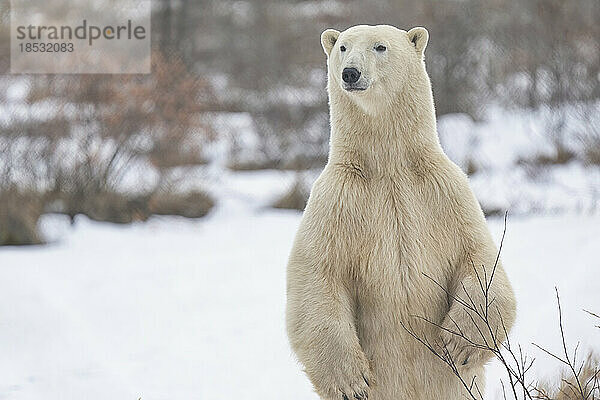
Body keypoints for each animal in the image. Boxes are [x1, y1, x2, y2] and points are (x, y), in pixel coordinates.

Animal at [284, 25, 516, 400]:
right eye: (343, 47)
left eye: (380, 47)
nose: (351, 73)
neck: (389, 168)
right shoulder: (335, 201)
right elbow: (318, 276)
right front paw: (350, 381)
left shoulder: (447, 193)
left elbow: (478, 260)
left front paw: (457, 343)